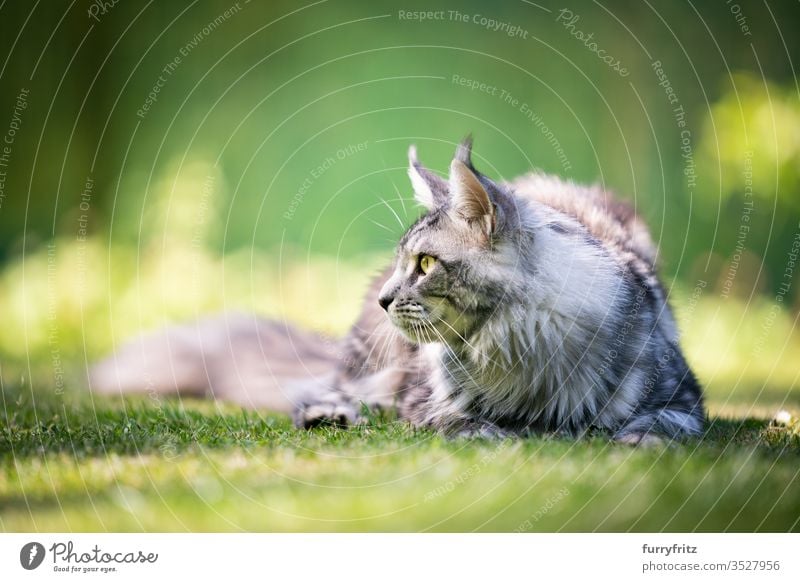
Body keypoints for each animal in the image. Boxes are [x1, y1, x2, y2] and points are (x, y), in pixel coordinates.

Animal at [90, 139, 704, 444]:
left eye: (426, 263)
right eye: (400, 261)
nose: (388, 298)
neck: (520, 352)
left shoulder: (681, 396)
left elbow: (661, 425)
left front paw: (635, 441)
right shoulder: (425, 399)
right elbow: (455, 420)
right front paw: (491, 434)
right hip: (368, 358)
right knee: (327, 390)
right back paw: (332, 415)